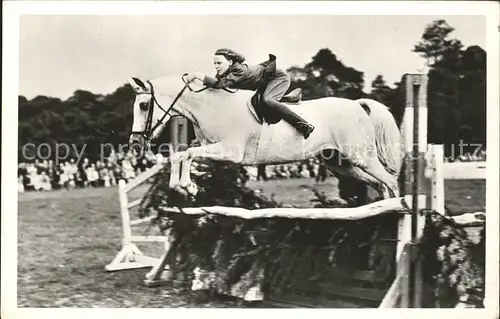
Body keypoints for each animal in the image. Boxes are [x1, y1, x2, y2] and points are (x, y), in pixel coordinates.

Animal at [126, 75, 402, 200]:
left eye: (143, 105)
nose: (135, 144)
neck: (211, 106)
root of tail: (358, 105)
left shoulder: (230, 151)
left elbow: (188, 154)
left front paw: (187, 185)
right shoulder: (213, 149)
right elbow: (181, 155)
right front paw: (184, 186)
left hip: (361, 157)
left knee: (391, 181)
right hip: (341, 164)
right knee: (380, 185)